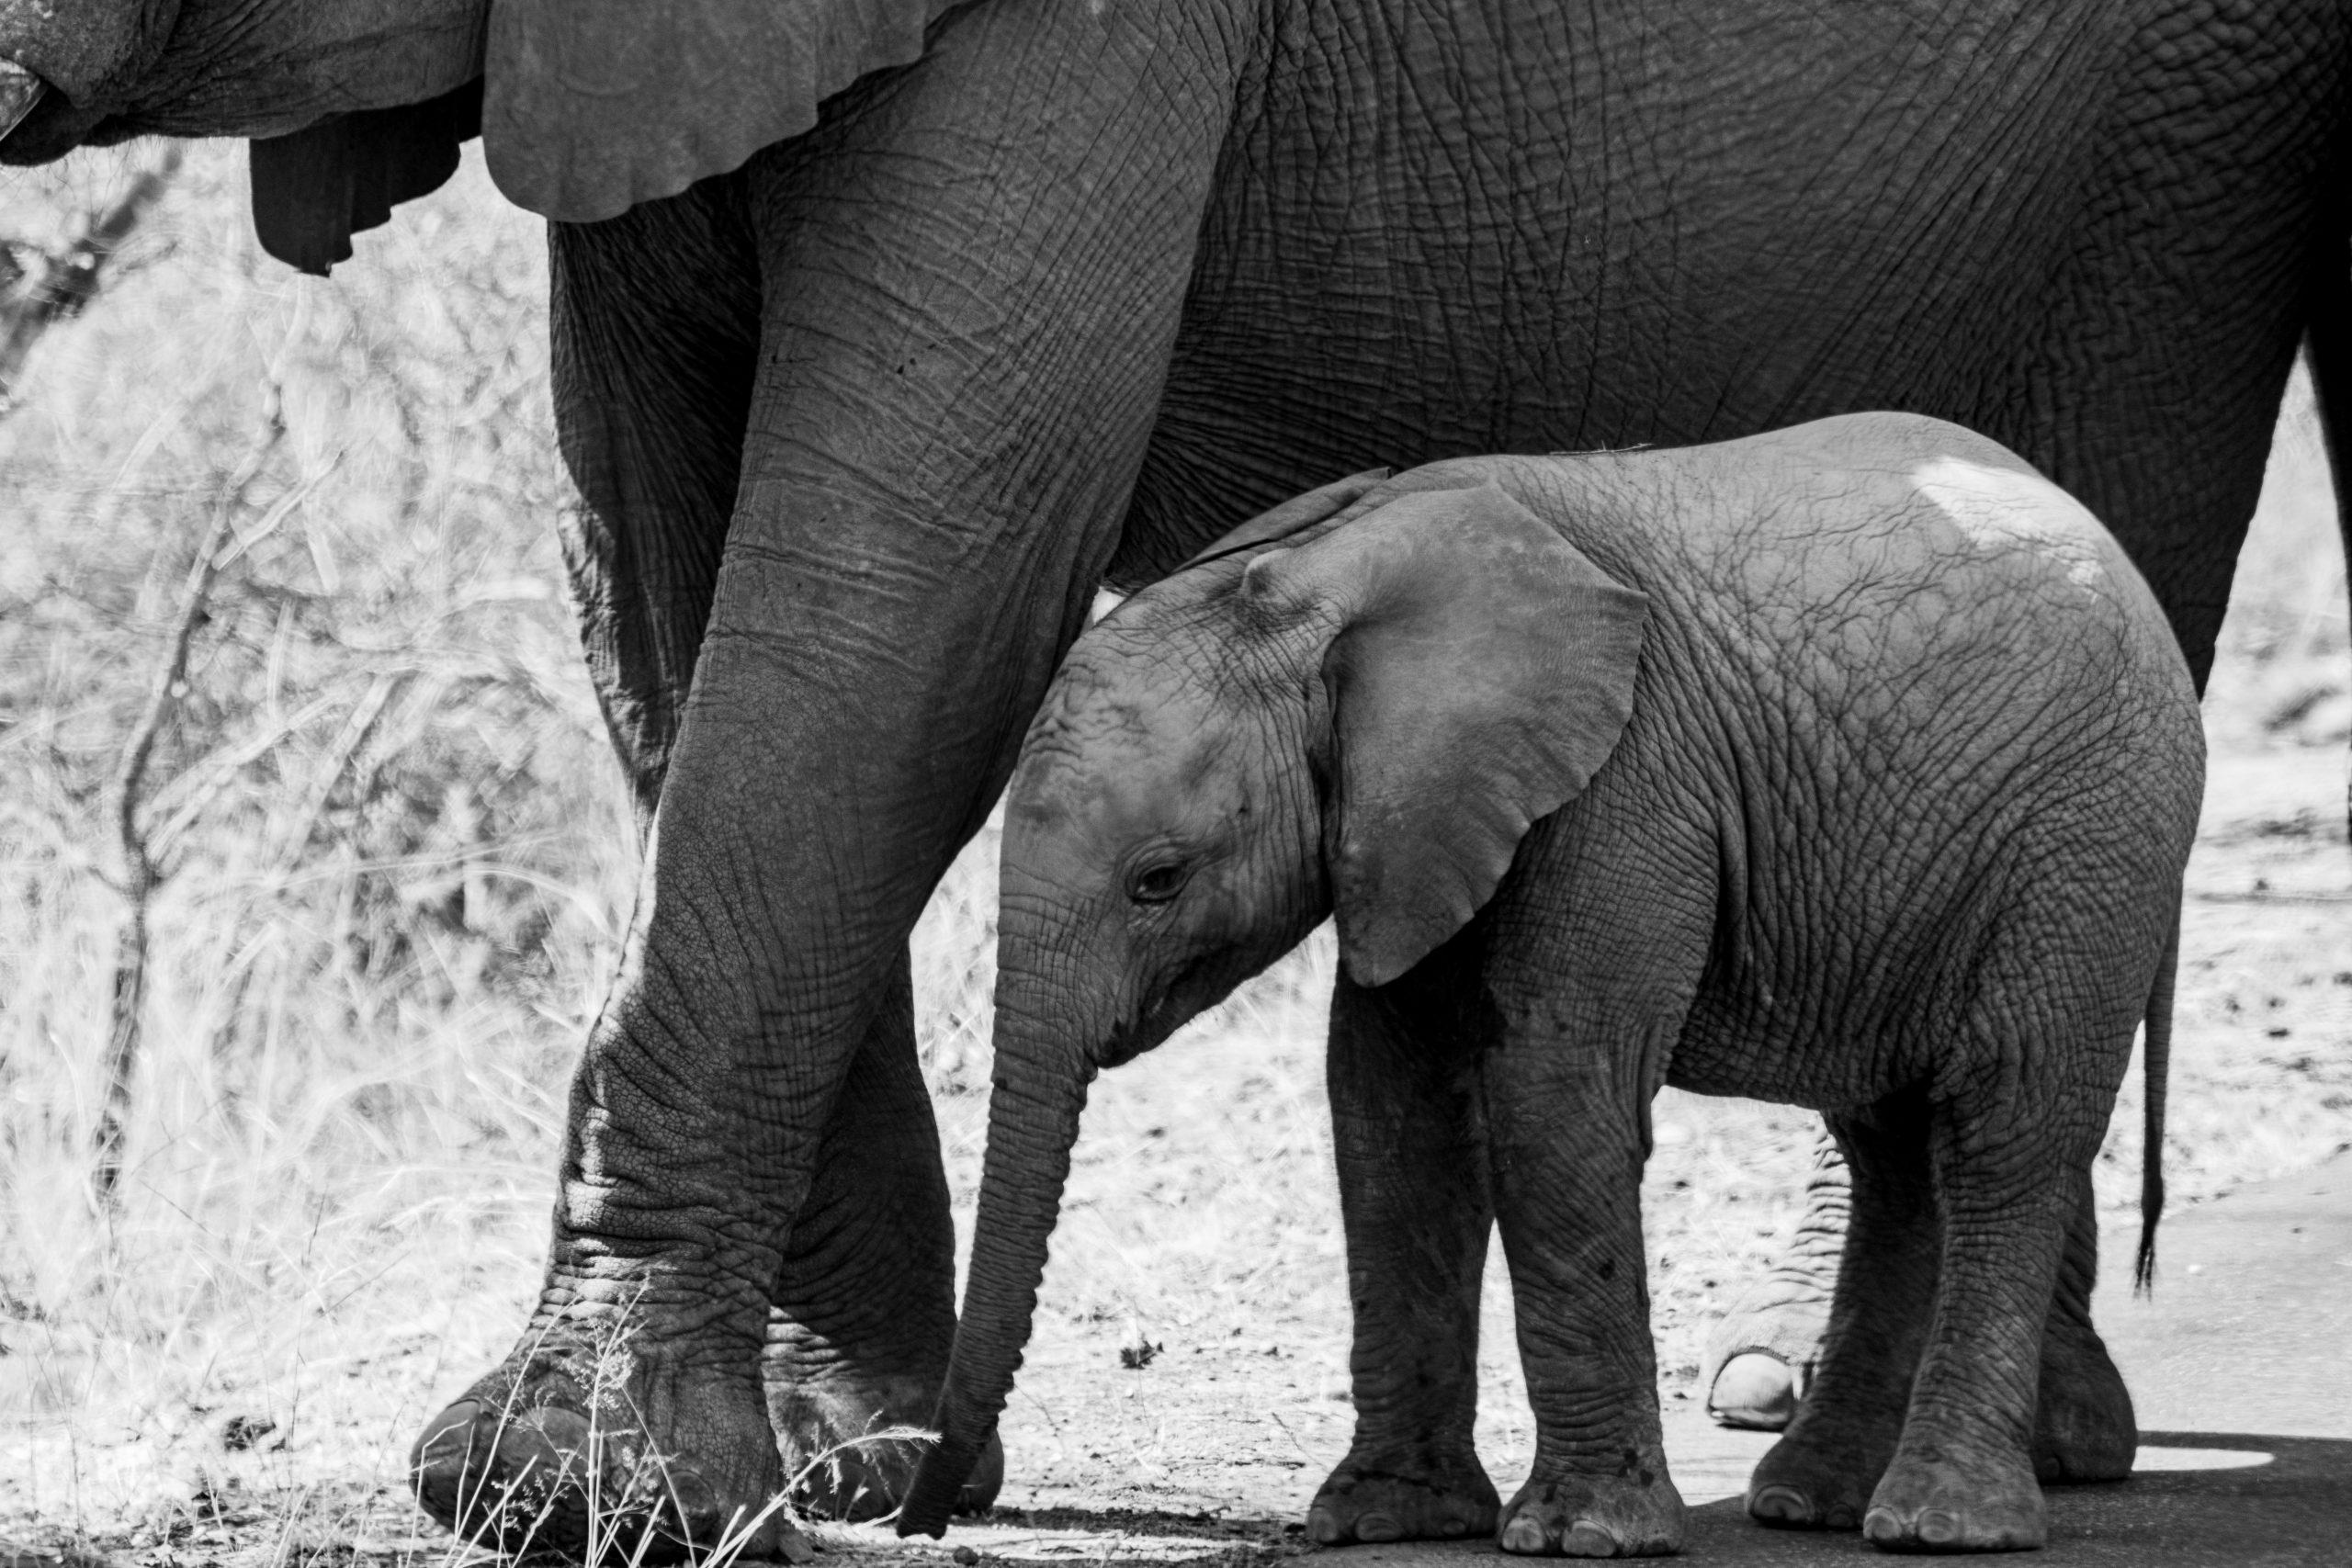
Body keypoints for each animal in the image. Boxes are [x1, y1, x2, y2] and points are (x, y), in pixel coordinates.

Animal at [903, 417, 2199, 1555]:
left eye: (1157, 881)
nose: (925, 1512)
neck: (1322, 575)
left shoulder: (1623, 781)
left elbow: (1553, 1094)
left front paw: (1581, 1537)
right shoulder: (1416, 819)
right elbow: (1389, 1114)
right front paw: (1382, 1522)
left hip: (2088, 849)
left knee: (2001, 1130)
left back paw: (1938, 1524)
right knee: (1891, 1145)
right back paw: (1811, 1504)